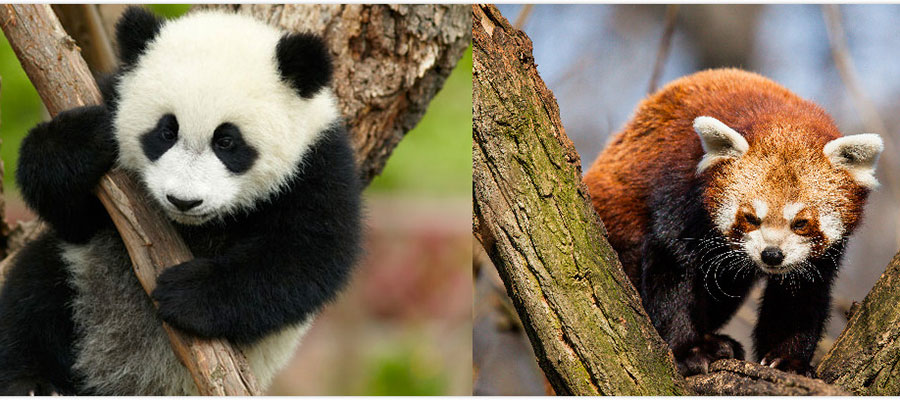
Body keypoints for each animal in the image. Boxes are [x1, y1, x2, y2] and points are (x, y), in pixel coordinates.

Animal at [0, 6, 361, 395]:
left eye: (227, 141)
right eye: (166, 131)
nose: (184, 201)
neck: (195, 227)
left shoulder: (318, 165)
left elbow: (307, 256)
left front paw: (188, 293)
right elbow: (71, 216)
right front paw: (78, 141)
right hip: (79, 279)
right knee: (30, 301)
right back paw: (29, 381)